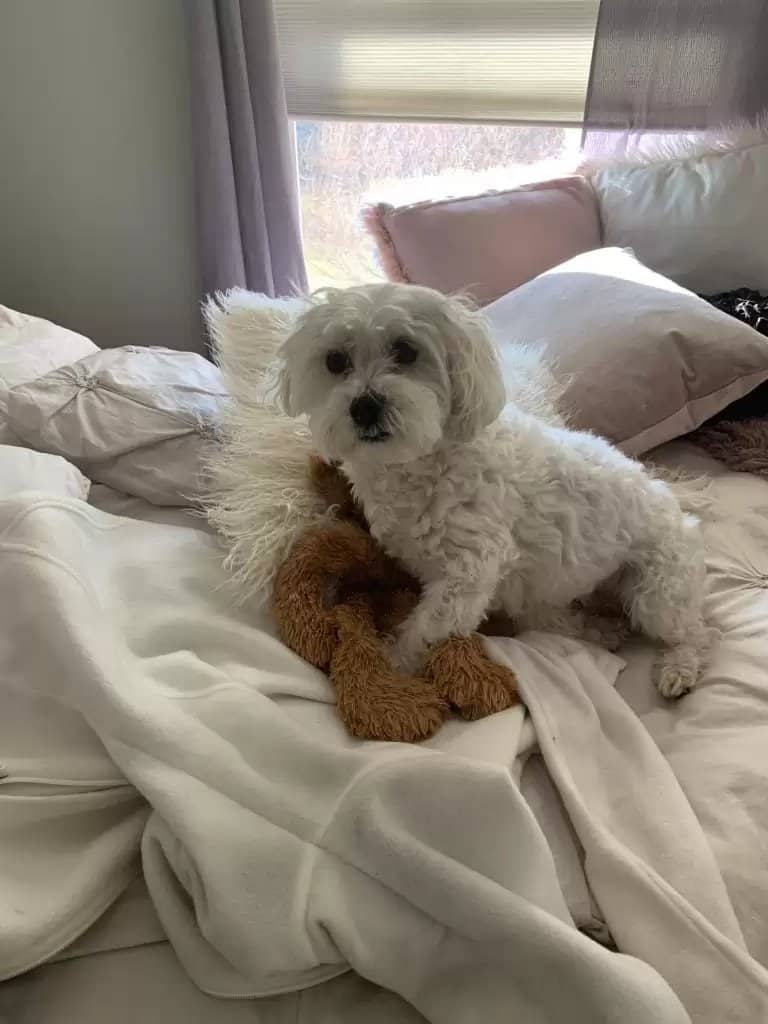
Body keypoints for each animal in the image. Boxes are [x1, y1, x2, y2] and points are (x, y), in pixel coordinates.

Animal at [278, 282, 716, 696]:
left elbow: (423, 631)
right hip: (549, 592)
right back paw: (601, 630)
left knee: (696, 631)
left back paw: (679, 667)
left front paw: (388, 670)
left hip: (657, 592)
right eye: (335, 360)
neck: (421, 461)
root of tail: (683, 516)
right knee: (559, 620)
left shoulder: (469, 571)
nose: (365, 407)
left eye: (406, 350)